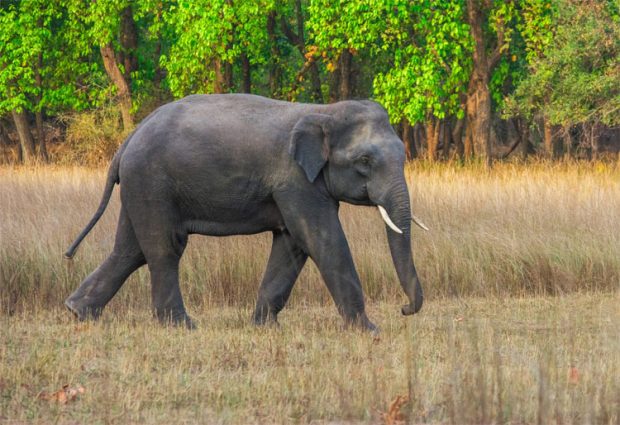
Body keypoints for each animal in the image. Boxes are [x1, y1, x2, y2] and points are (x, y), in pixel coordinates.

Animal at [64, 94, 426, 330]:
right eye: (364, 161)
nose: (404, 309)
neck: (323, 112)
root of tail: (128, 139)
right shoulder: (295, 179)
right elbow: (322, 240)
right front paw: (368, 330)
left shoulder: (296, 186)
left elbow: (292, 243)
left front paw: (264, 327)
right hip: (152, 183)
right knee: (164, 248)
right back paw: (181, 326)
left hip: (140, 186)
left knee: (130, 250)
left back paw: (79, 312)